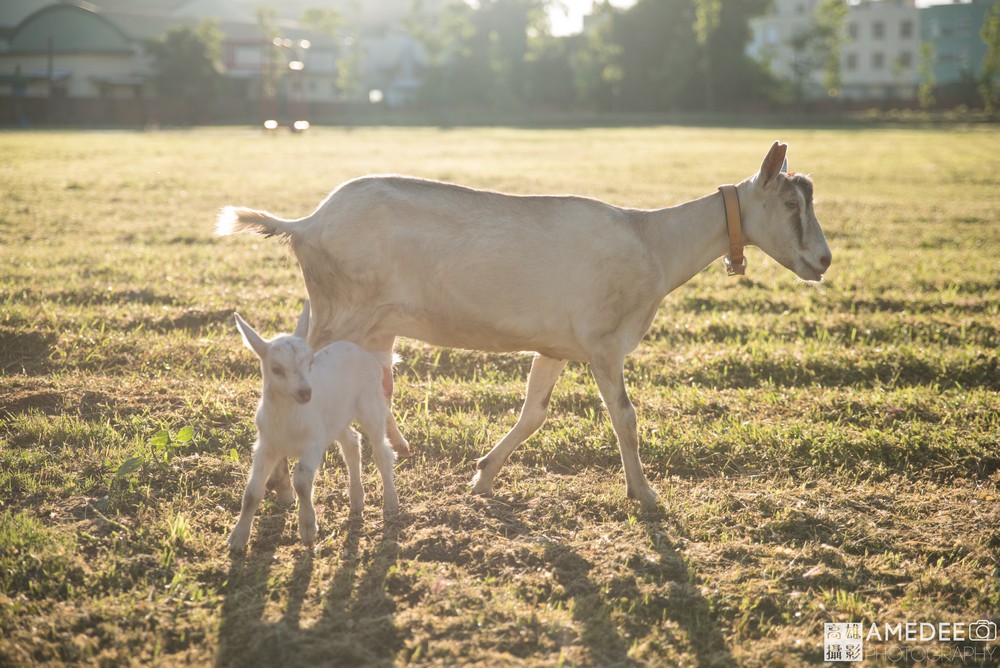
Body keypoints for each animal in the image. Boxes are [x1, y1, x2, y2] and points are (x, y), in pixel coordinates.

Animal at [217, 142, 828, 512]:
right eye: (790, 203)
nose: (822, 260)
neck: (652, 242)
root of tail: (307, 223)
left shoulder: (556, 346)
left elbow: (535, 412)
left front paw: (483, 475)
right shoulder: (604, 343)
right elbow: (625, 417)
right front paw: (644, 494)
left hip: (362, 321)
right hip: (339, 312)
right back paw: (279, 482)